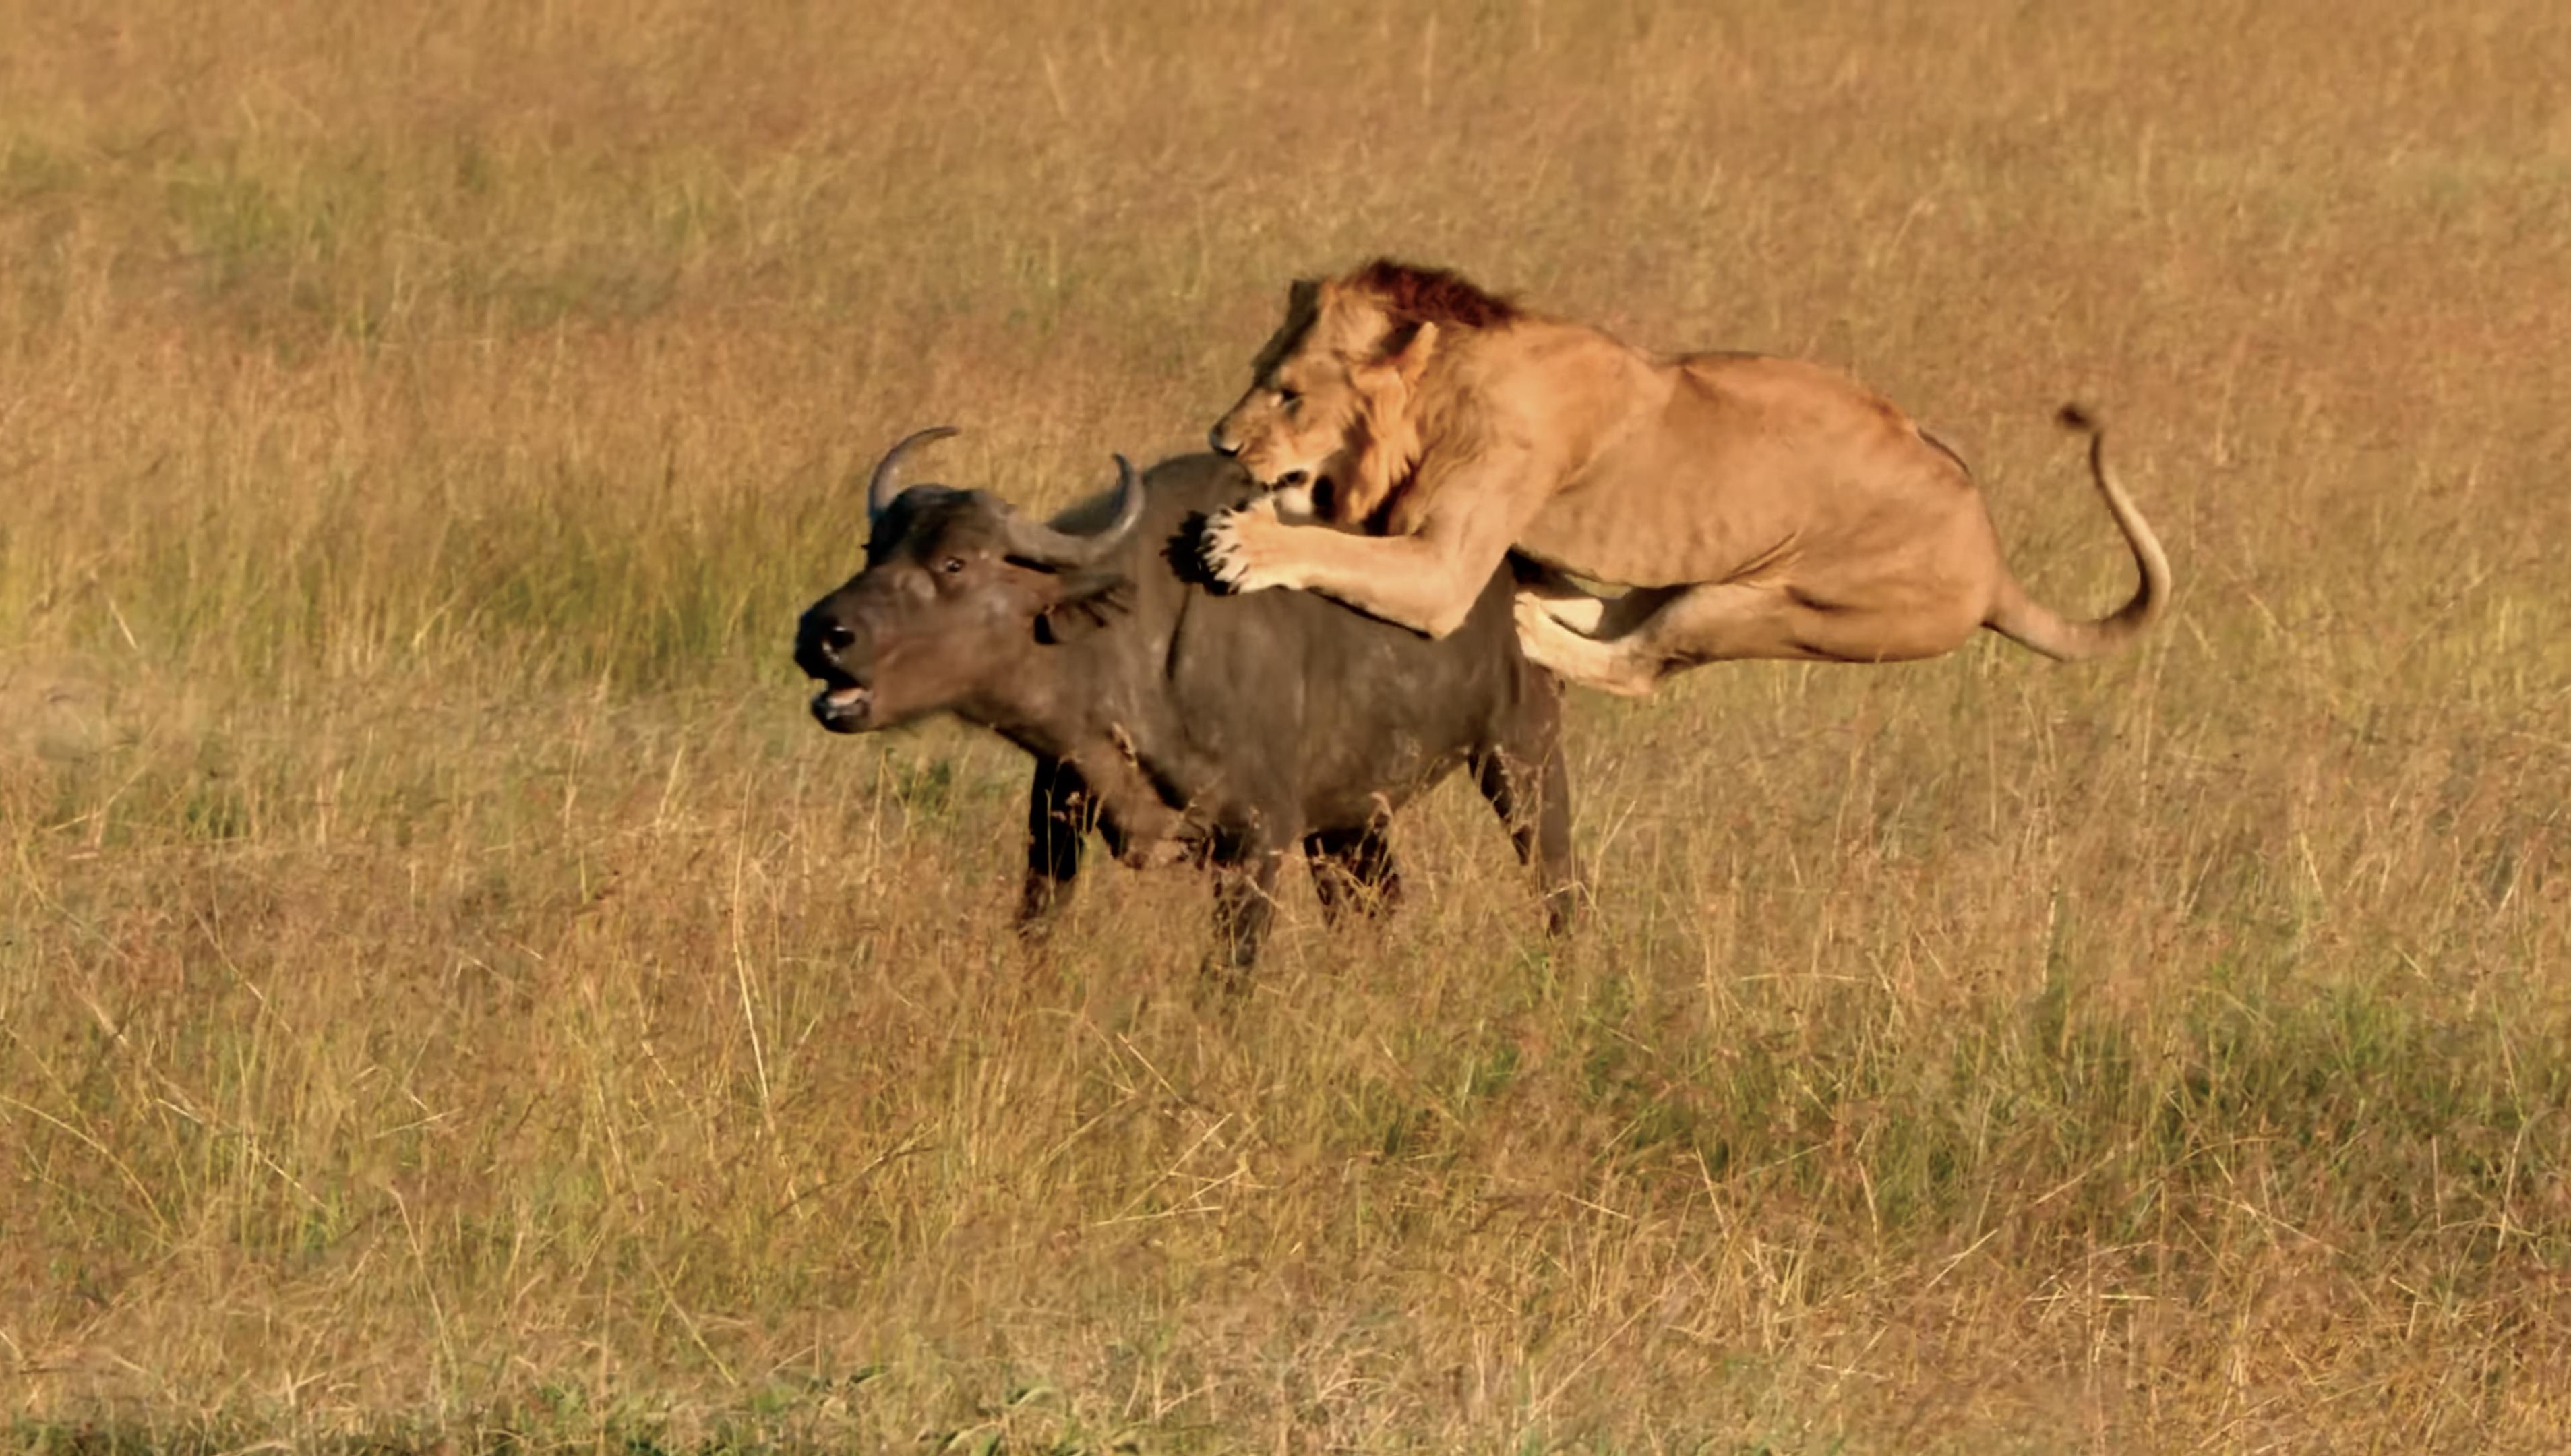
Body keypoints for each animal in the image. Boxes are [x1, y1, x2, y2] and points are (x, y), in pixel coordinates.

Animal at [791, 427, 1573, 977]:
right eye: (873, 550)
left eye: (954, 563)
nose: (821, 634)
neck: (1126, 649)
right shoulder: (1055, 814)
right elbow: (1036, 929)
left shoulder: (1258, 840)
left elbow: (1229, 974)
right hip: (1353, 820)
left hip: (1521, 754)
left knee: (1557, 883)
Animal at [1203, 258, 2170, 700]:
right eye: (1256, 372)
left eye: (1288, 395)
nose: (1219, 441)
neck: (1442, 387)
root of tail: (1993, 562)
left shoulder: (1446, 564)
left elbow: (1348, 553)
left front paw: (1247, 542)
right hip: (1710, 569)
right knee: (1613, 613)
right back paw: (1538, 600)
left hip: (1768, 607)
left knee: (1639, 662)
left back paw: (1530, 626)